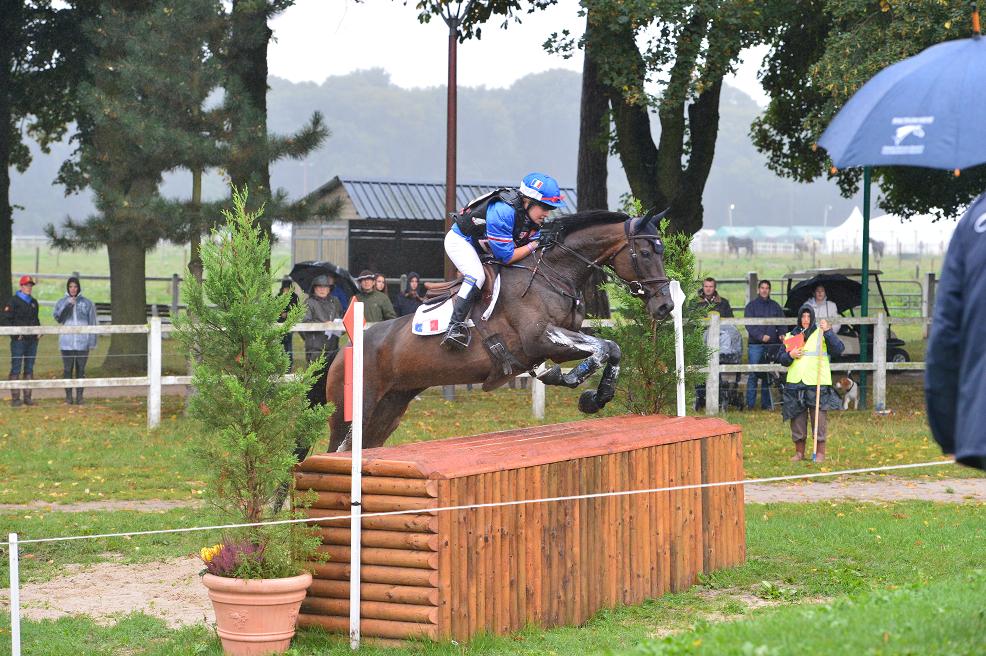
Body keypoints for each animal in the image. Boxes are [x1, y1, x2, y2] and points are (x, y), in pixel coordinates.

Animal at [326, 210, 672, 452]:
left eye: (662, 252)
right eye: (645, 253)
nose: (665, 306)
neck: (552, 274)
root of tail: (344, 352)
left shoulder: (561, 340)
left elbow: (611, 348)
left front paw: (594, 397)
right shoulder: (541, 340)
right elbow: (603, 348)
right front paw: (574, 383)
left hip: (390, 410)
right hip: (353, 411)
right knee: (334, 453)